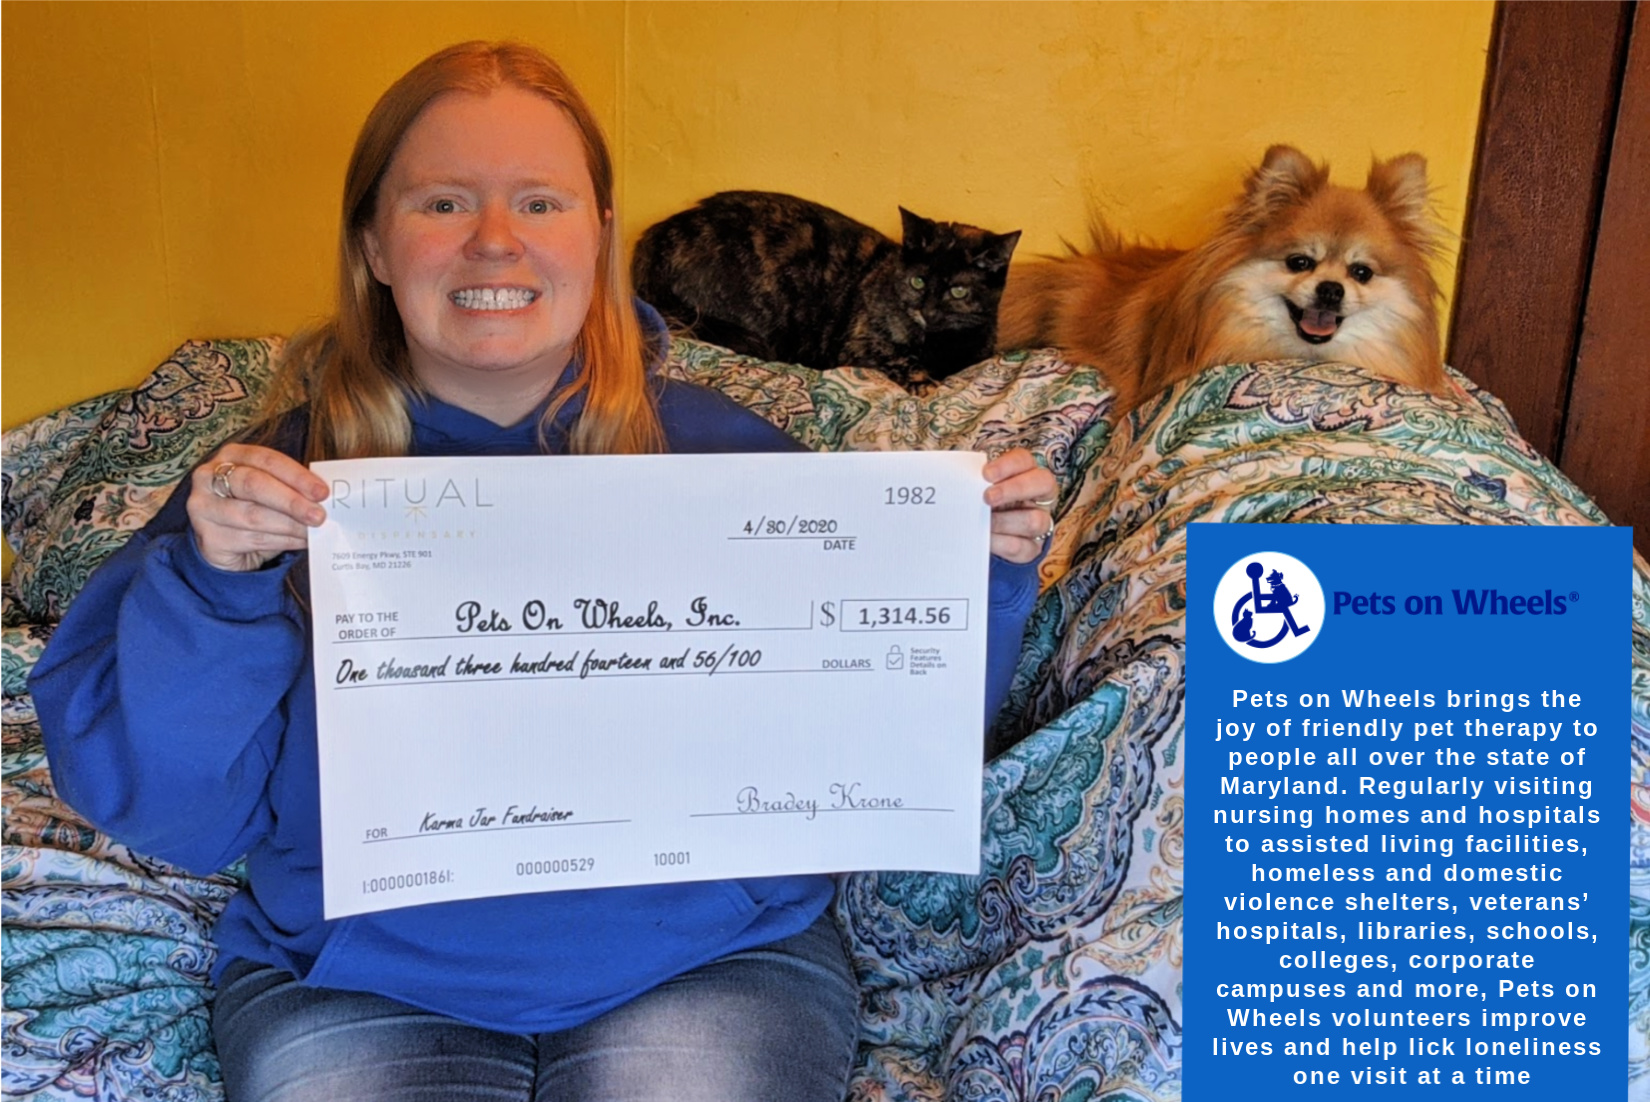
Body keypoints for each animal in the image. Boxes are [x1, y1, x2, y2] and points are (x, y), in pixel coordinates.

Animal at [630, 191, 1016, 389]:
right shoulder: (860, 344)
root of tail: (656, 237)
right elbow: (901, 359)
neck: (942, 345)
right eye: (918, 281)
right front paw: (922, 382)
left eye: (958, 291)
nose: (928, 311)